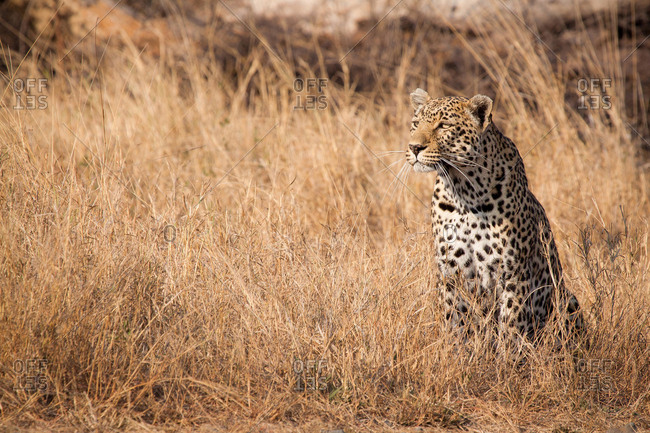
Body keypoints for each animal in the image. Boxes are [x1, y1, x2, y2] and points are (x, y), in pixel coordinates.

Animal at [405, 88, 583, 349]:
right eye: (416, 123)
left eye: (443, 126)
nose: (414, 147)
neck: (464, 191)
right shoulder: (450, 273)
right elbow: (454, 323)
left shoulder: (513, 275)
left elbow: (511, 327)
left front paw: (507, 358)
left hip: (566, 298)